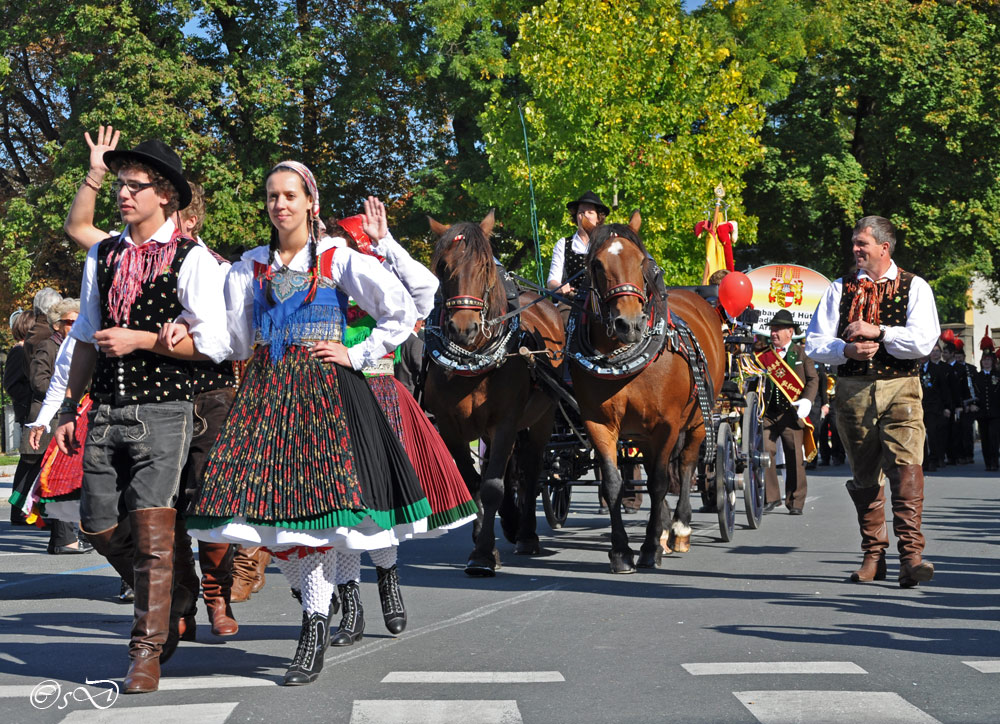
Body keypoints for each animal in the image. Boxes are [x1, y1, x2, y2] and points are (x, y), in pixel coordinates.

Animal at [422, 209, 564, 576]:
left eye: (486, 265)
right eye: (442, 266)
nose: (463, 328)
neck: (475, 359)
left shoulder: (505, 421)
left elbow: (492, 486)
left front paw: (484, 555)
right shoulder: (449, 424)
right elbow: (472, 481)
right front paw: (481, 544)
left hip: (542, 418)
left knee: (530, 470)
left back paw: (526, 534)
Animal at [568, 212, 724, 576]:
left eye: (642, 262)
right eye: (596, 264)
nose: (629, 324)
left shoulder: (666, 424)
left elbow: (659, 482)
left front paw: (651, 548)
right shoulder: (599, 423)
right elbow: (613, 483)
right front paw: (621, 551)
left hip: (700, 419)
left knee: (686, 465)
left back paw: (679, 528)